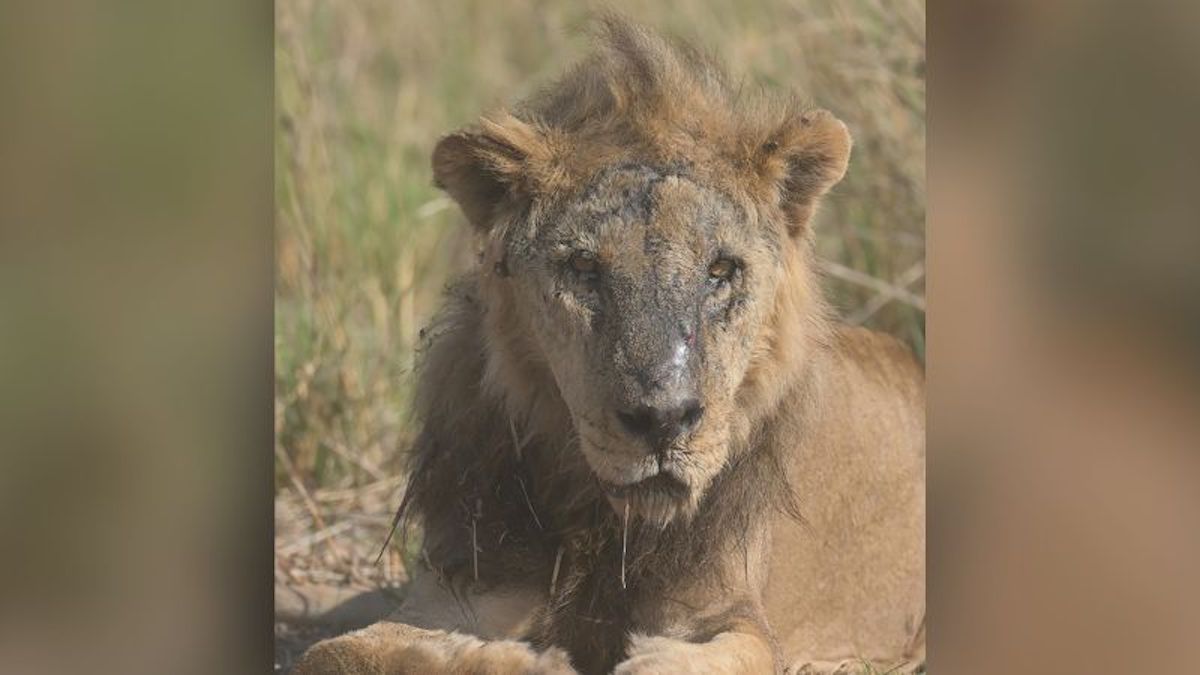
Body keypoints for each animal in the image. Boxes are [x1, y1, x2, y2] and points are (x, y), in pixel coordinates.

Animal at [292, 15, 926, 672]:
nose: (662, 421)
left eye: (721, 269)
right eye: (583, 268)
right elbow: (339, 651)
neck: (603, 521)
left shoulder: (735, 619)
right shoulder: (461, 587)